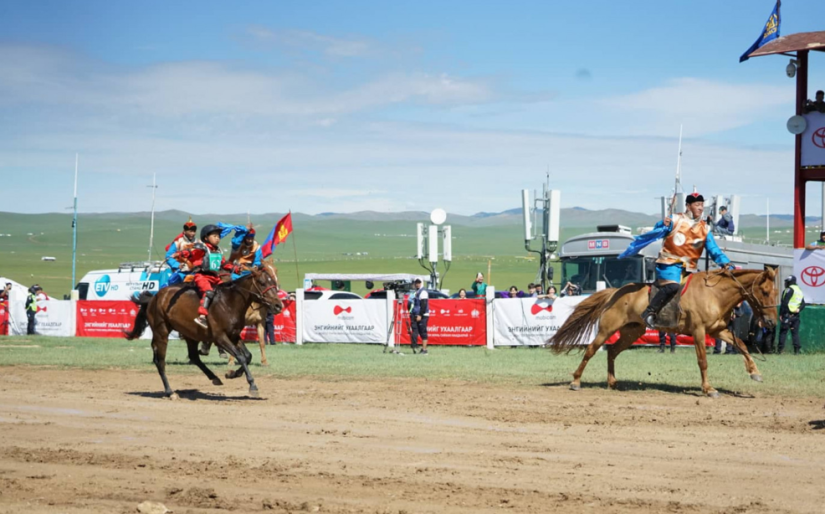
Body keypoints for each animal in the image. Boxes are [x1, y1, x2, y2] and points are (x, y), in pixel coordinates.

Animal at [124, 266, 284, 398]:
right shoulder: (220, 337)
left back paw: (214, 377)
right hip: (161, 332)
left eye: (273, 282)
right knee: (160, 361)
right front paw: (252, 385)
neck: (229, 303)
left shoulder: (233, 335)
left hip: (189, 334)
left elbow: (248, 356)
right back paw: (170, 392)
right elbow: (241, 357)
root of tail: (155, 297)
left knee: (194, 357)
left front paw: (232, 374)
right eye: (262, 283)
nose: (278, 305)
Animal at [548, 268, 780, 396]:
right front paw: (708, 389)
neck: (714, 293)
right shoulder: (698, 331)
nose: (770, 322)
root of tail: (616, 291)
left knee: (612, 351)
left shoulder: (718, 331)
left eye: (775, 292)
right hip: (607, 329)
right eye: (764, 291)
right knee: (591, 350)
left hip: (632, 332)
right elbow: (703, 361)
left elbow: (740, 345)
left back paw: (612, 382)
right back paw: (575, 381)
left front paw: (755, 372)